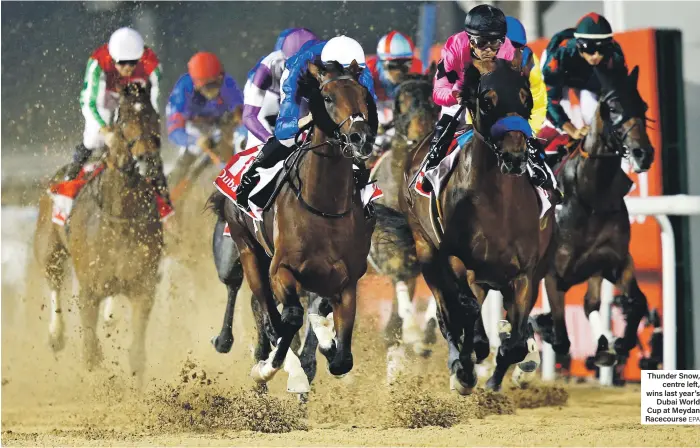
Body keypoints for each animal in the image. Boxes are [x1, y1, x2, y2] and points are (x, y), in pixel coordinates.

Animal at [34, 83, 164, 384]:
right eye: (125, 120)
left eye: (154, 117)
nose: (148, 160)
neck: (121, 217)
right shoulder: (88, 292)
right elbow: (91, 354)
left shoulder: (144, 286)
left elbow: (136, 354)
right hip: (49, 249)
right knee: (54, 282)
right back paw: (56, 335)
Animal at [209, 60, 378, 392]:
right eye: (327, 98)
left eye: (365, 97)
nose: (360, 138)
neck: (323, 208)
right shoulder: (282, 270)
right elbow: (288, 318)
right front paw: (272, 367)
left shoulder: (345, 282)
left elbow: (341, 360)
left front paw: (324, 343)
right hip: (248, 249)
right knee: (260, 302)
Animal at [400, 59, 556, 392]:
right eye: (487, 101)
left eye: (526, 99)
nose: (515, 156)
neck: (499, 207)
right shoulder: (457, 260)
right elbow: (465, 313)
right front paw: (467, 368)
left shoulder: (525, 274)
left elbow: (515, 342)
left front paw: (500, 374)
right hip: (426, 252)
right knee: (448, 313)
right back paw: (461, 364)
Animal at [532, 65, 656, 372]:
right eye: (612, 107)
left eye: (643, 106)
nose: (643, 153)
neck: (590, 198)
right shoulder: (555, 272)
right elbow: (559, 334)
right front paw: (542, 325)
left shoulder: (614, 261)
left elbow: (636, 300)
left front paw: (620, 343)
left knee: (590, 303)